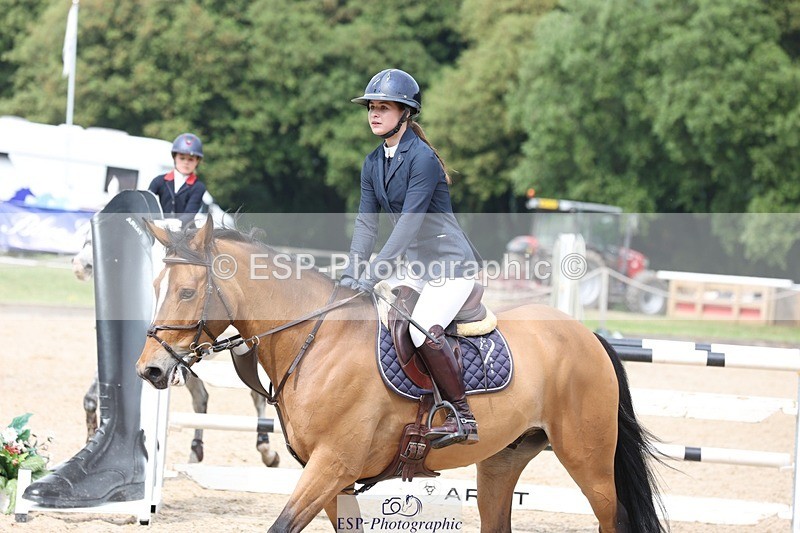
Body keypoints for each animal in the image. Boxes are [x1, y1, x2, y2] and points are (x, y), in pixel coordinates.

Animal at [71, 224, 279, 467]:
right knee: (201, 399)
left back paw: (266, 449)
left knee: (256, 396)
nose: (79, 267)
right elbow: (92, 399)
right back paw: (196, 452)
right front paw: (90, 441)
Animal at [135, 218, 666, 532]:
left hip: (588, 460)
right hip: (502, 460)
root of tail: (587, 335)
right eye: (156, 284)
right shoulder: (334, 479)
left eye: (187, 292)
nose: (150, 368)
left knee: (613, 517)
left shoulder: (332, 466)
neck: (315, 340)